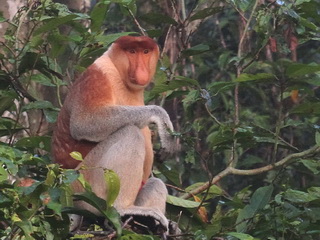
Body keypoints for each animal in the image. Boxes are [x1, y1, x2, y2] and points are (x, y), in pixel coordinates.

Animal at [52, 35, 178, 232]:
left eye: (145, 52)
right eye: (132, 51)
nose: (141, 69)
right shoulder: (98, 76)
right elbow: (84, 122)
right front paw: (161, 120)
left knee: (156, 182)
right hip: (83, 183)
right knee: (130, 133)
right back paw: (124, 209)